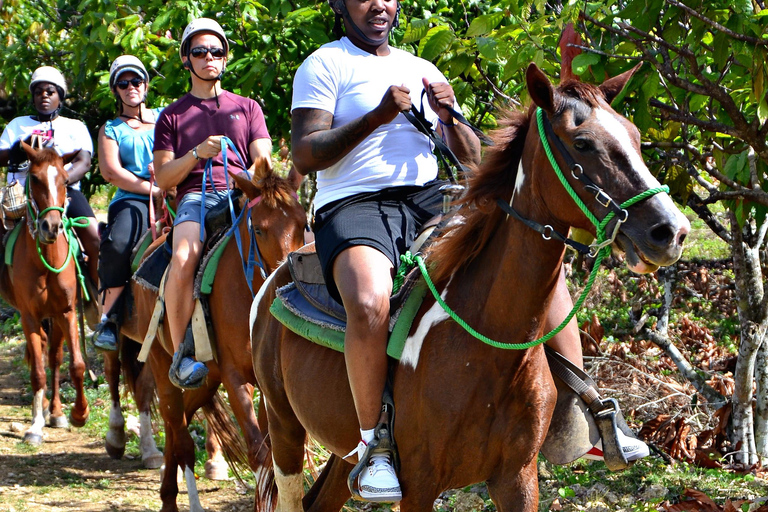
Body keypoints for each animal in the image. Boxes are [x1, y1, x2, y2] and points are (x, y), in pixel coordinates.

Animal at [0, 143, 91, 444]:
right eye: (35, 179)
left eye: (64, 179)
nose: (51, 226)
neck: (46, 262)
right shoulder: (29, 314)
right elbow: (38, 372)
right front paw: (34, 427)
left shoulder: (67, 311)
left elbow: (75, 365)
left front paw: (79, 414)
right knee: (39, 352)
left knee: (53, 356)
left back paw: (57, 412)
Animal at [124, 158, 304, 510]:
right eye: (259, 229)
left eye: (304, 223)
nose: (285, 274)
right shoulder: (235, 378)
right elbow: (259, 455)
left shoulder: (268, 386)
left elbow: (274, 462)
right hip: (163, 365)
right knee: (178, 431)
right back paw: (176, 499)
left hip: (207, 378)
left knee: (180, 419)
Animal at [250, 64, 688, 512]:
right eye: (582, 143)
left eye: (634, 135)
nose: (671, 230)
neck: (489, 344)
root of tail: (277, 276)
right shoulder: (419, 486)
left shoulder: (517, 477)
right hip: (284, 429)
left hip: (343, 451)